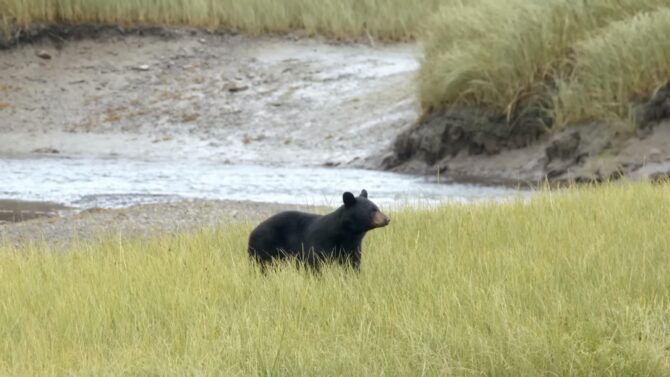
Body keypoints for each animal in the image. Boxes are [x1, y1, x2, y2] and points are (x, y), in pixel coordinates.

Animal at [249, 189, 392, 272]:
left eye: (377, 208)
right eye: (372, 211)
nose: (387, 219)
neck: (347, 233)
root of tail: (250, 235)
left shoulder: (352, 247)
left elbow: (352, 264)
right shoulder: (321, 242)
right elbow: (315, 262)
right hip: (265, 248)